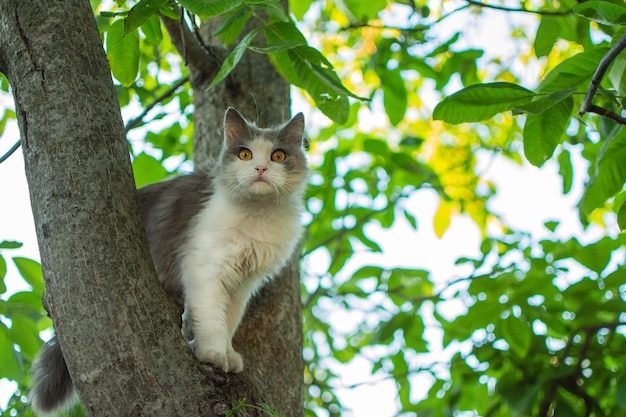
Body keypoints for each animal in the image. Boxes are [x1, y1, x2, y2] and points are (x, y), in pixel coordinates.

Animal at [29, 107, 308, 412]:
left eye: (278, 156)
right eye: (245, 154)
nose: (260, 169)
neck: (259, 215)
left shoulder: (243, 283)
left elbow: (229, 320)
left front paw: (229, 353)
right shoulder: (205, 268)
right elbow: (212, 319)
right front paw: (213, 353)